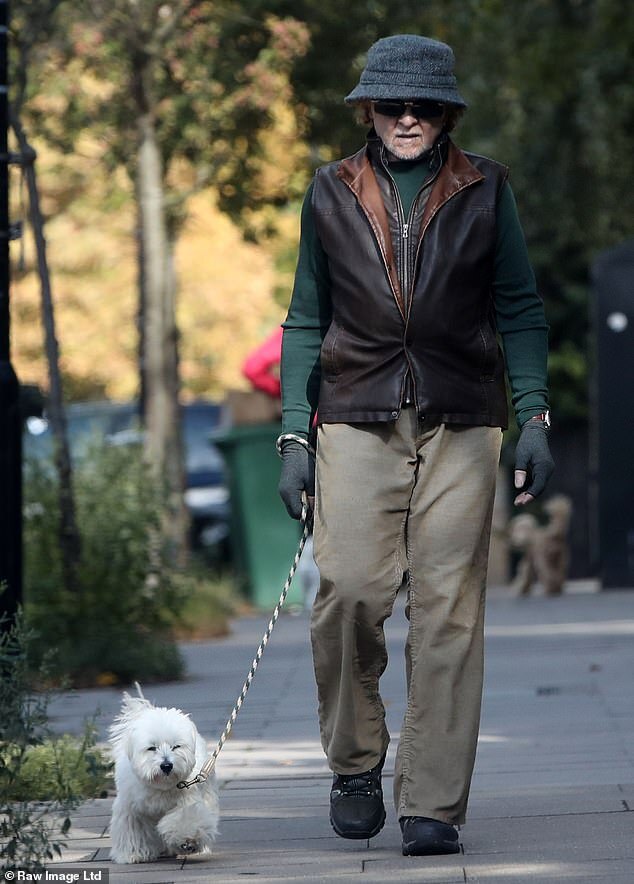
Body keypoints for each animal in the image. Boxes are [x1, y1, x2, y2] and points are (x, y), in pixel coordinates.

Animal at [107, 684, 218, 864]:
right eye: (152, 748)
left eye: (176, 746)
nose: (166, 765)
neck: (161, 787)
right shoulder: (131, 807)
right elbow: (133, 828)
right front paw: (134, 853)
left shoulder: (187, 801)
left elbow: (186, 818)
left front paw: (188, 840)